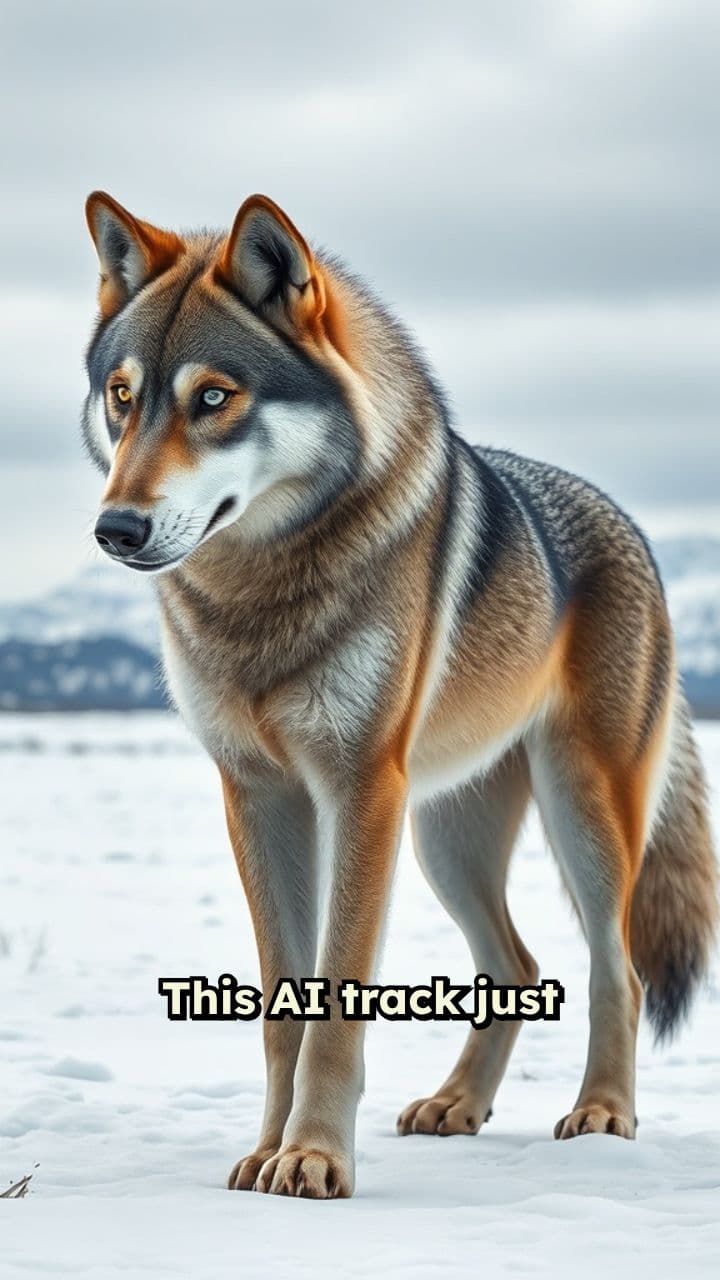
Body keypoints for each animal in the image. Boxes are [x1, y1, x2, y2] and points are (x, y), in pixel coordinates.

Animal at [83, 191, 717, 1198]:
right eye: (123, 395)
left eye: (214, 397)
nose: (115, 528)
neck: (260, 596)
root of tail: (633, 529)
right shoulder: (257, 794)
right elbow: (284, 1008)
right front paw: (267, 1152)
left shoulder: (358, 792)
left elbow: (338, 1005)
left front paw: (313, 1158)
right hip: (444, 839)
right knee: (519, 965)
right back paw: (457, 1106)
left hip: (576, 814)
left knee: (618, 971)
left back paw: (603, 1116)